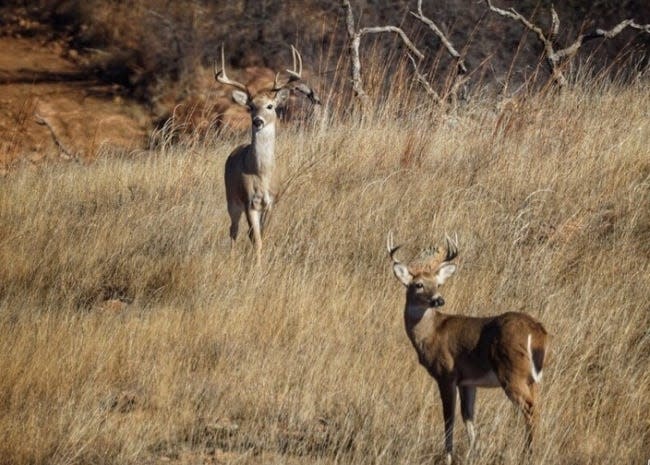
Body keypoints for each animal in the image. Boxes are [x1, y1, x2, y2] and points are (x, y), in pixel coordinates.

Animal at [215, 45, 318, 266]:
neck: (261, 173)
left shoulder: (272, 201)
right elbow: (256, 238)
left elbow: (263, 234)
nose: (258, 121)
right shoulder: (249, 202)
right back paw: (232, 258)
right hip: (231, 198)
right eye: (250, 107)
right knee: (233, 230)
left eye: (270, 106)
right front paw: (257, 265)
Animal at [384, 232, 548, 464]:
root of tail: (538, 332)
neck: (431, 332)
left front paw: (448, 457)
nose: (439, 300)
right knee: (537, 406)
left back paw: (530, 454)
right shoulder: (468, 381)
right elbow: (468, 419)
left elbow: (448, 419)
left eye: (438, 284)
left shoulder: (446, 373)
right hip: (530, 378)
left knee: (530, 408)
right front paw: (474, 454)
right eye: (419, 285)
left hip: (512, 372)